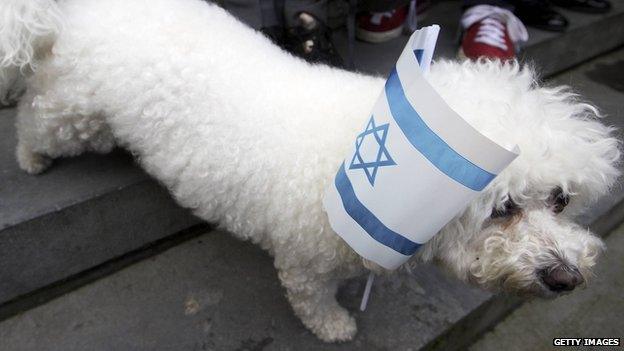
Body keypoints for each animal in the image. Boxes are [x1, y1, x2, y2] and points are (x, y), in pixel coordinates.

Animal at [2, 0, 620, 344]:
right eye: (503, 210)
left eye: (561, 200)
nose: (567, 277)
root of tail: (83, 9)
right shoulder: (305, 262)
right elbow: (312, 301)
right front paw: (334, 327)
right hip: (77, 113)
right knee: (36, 114)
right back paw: (29, 158)